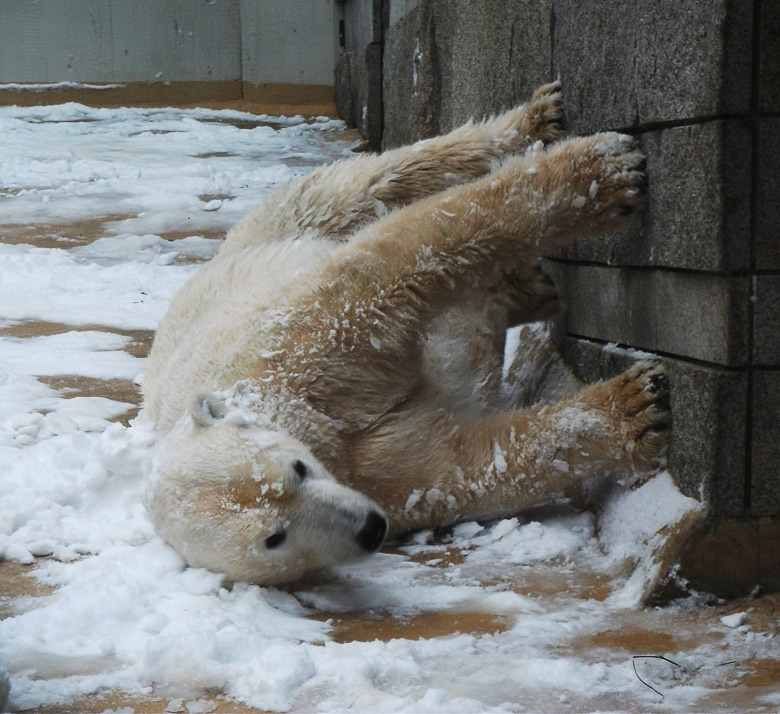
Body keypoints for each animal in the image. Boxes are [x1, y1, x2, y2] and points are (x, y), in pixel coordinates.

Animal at [142, 83, 672, 584]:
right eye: (275, 538)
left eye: (296, 468)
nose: (368, 528)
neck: (292, 404)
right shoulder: (369, 476)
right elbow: (464, 464)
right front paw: (637, 409)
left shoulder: (301, 345)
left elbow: (394, 263)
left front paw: (602, 174)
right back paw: (526, 289)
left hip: (277, 227)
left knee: (372, 183)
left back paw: (537, 124)